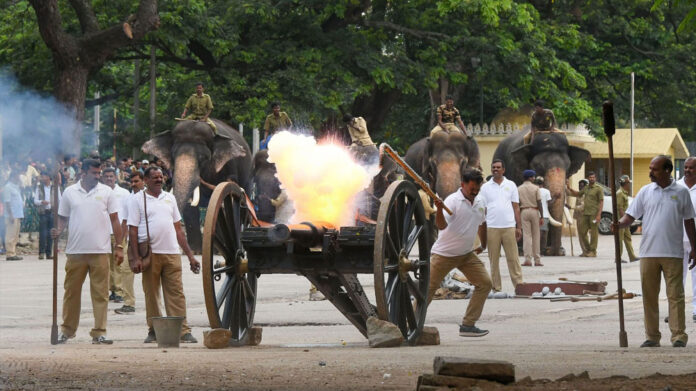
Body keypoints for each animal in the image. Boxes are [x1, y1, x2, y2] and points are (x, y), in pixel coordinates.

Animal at [143, 118, 251, 251]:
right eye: (173, 156)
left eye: (203, 158)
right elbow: (190, 207)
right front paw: (195, 249)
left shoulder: (228, 168)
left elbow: (221, 204)